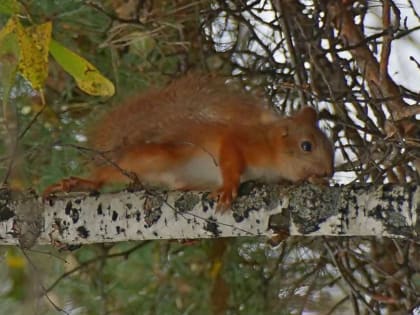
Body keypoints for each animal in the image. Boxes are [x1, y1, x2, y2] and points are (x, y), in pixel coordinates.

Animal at [43, 75, 334, 211]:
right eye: (306, 146)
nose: (330, 172)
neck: (273, 150)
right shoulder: (240, 140)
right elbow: (230, 157)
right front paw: (228, 188)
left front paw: (317, 181)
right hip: (151, 159)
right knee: (106, 174)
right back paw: (80, 183)